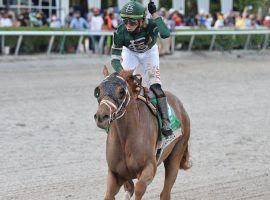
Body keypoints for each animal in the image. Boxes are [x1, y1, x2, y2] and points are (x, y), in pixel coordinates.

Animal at [94, 66, 191, 199]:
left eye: (121, 92)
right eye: (98, 91)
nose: (101, 117)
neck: (125, 137)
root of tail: (180, 105)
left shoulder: (149, 168)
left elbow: (139, 188)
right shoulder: (115, 174)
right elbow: (111, 194)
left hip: (176, 154)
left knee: (165, 193)